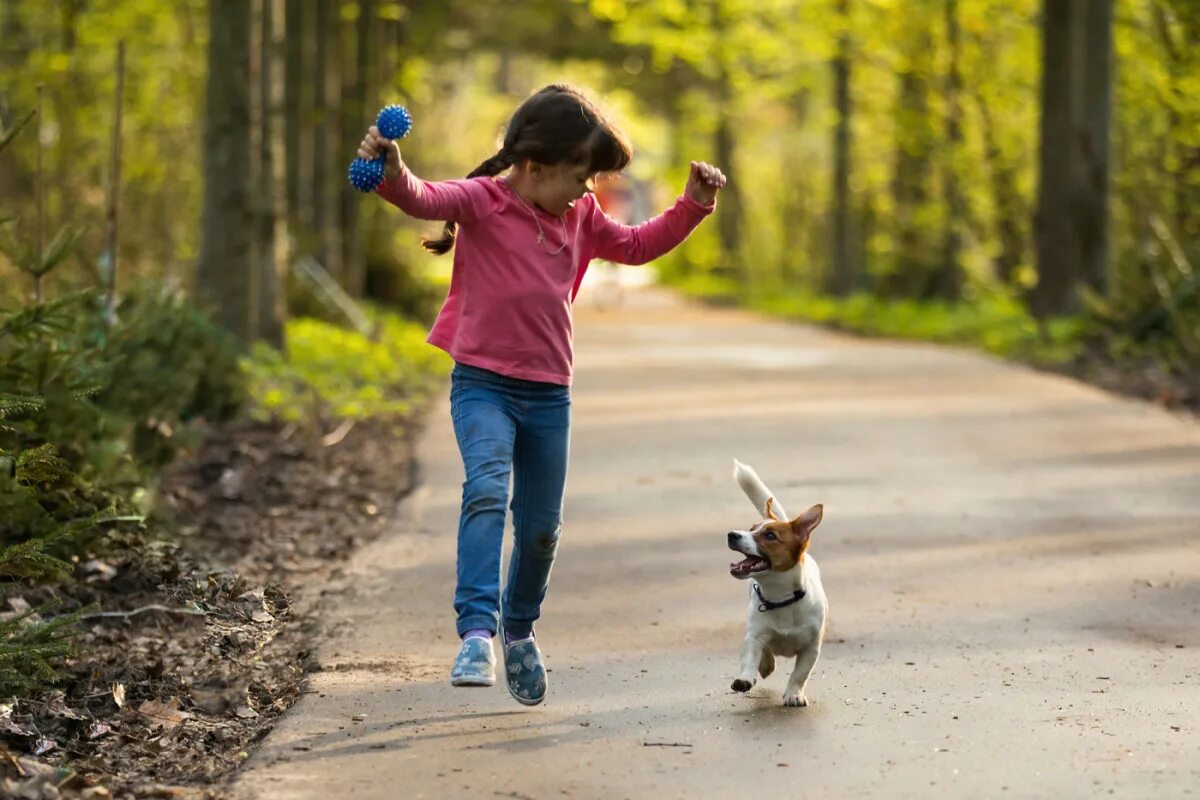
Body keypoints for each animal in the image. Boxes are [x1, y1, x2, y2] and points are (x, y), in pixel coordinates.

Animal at [724, 455, 830, 705]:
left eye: (770, 535)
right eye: (751, 528)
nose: (732, 534)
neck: (780, 598)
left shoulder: (811, 648)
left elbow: (800, 673)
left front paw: (794, 694)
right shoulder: (754, 636)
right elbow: (751, 655)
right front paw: (745, 678)